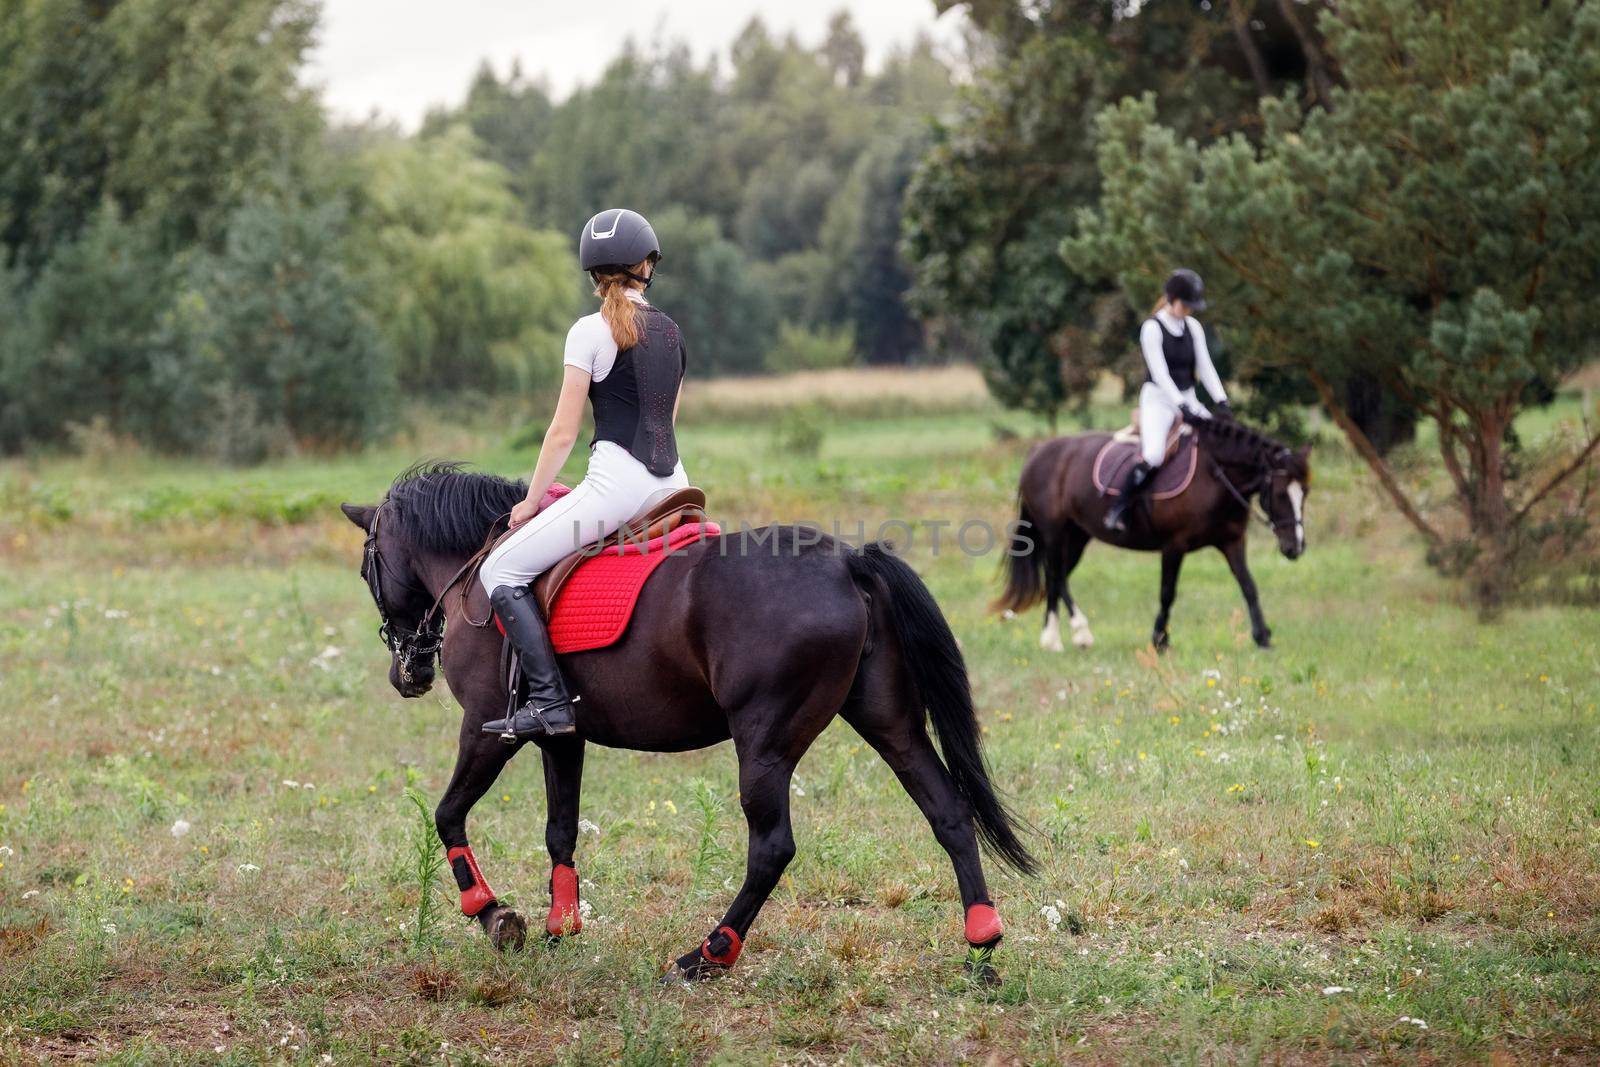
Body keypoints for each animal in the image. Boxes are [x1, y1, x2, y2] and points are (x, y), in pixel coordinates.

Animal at [340, 463, 1036, 979]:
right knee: (948, 810)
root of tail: (846, 561)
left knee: (772, 847)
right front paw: (560, 929)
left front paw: (491, 913)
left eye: (367, 567)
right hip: (888, 722)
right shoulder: (561, 736)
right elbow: (560, 830)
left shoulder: (488, 728)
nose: (408, 674)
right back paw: (981, 942)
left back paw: (707, 953)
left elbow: (447, 814)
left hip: (764, 744)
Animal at [998, 415, 1312, 652]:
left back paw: (1066, 636)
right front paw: (1160, 640)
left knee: (1058, 577)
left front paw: (1262, 636)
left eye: (1305, 493)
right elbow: (1167, 592)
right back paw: (1064, 636)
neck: (1215, 476)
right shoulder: (1174, 545)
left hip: (1077, 537)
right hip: (1054, 533)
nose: (1294, 548)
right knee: (1054, 575)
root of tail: (1038, 452)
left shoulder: (1232, 541)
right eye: (1281, 494)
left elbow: (1249, 586)